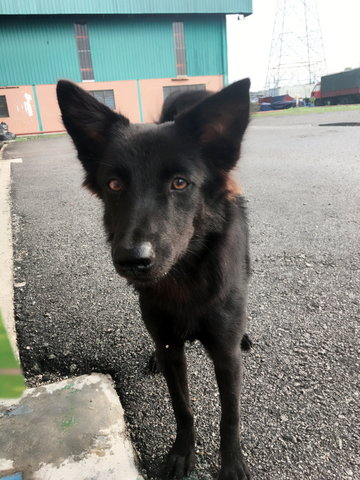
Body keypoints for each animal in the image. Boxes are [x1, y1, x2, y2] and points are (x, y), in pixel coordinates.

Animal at [57, 79, 252, 480]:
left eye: (179, 183)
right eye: (114, 185)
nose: (133, 260)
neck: (184, 276)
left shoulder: (225, 355)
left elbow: (230, 416)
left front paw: (231, 464)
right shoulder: (169, 346)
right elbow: (182, 407)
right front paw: (182, 453)